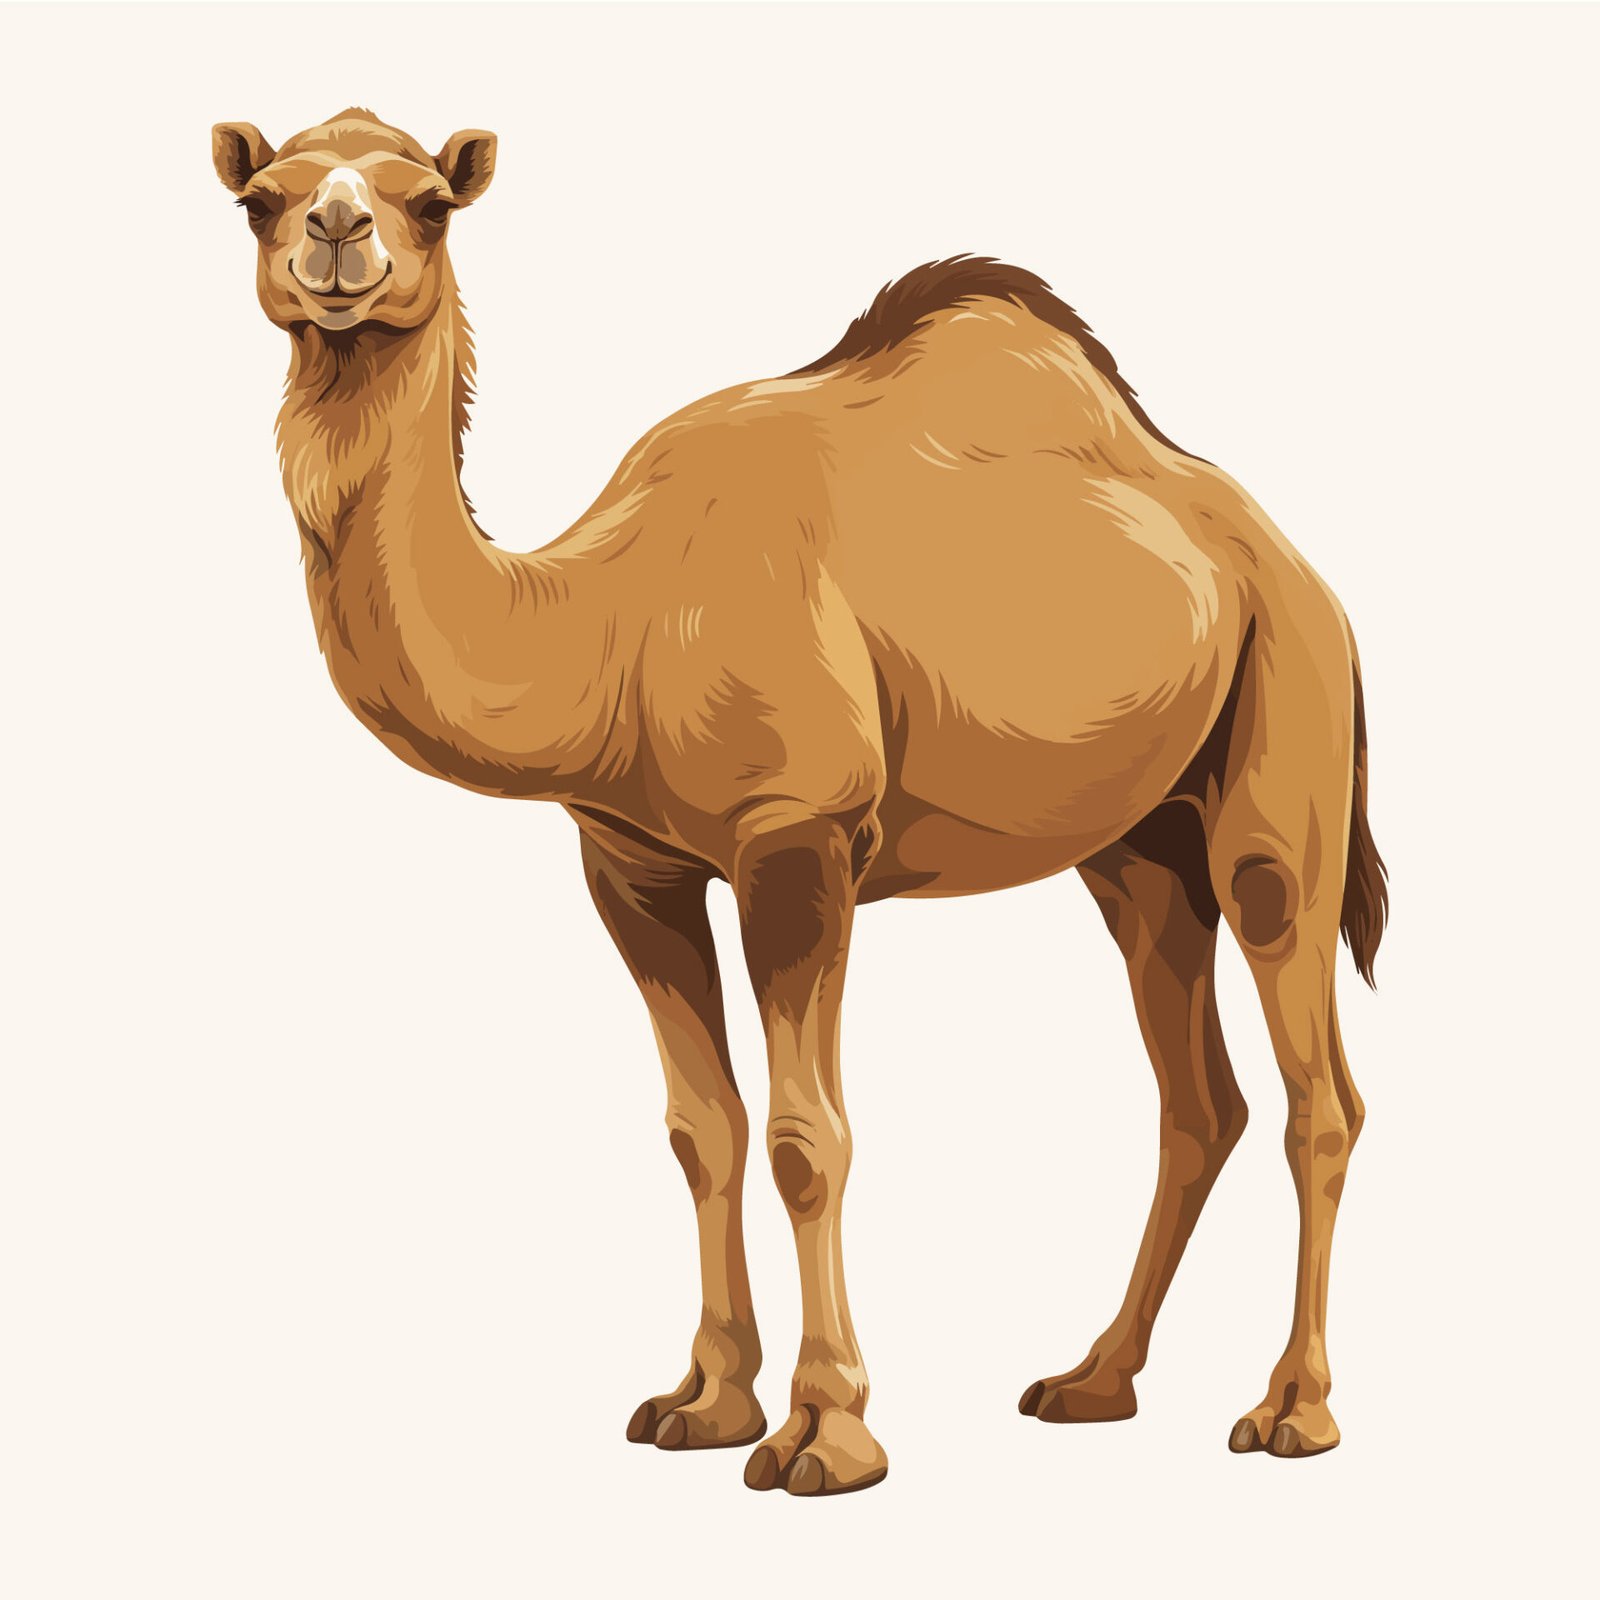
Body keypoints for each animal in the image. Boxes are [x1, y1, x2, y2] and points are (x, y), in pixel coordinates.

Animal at [214, 108, 1387, 1498]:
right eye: (261, 197)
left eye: (432, 203)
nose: (339, 233)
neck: (608, 620)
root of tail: (1296, 568)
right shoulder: (633, 864)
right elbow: (700, 1128)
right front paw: (704, 1400)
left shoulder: (800, 836)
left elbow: (802, 1135)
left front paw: (825, 1431)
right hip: (1136, 849)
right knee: (1197, 1095)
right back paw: (1093, 1380)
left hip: (1285, 738)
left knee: (1315, 1082)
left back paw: (1293, 1408)